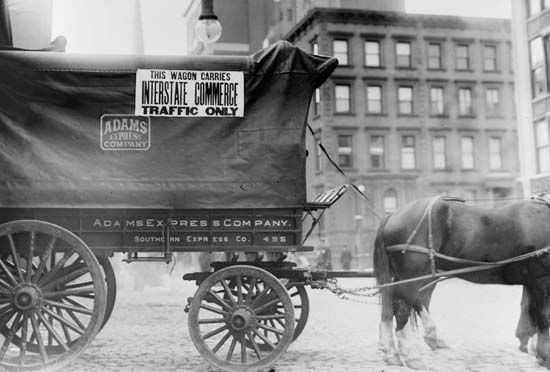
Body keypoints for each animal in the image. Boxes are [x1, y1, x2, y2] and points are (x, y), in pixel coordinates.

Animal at [376, 196, 550, 368]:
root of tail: (393, 215)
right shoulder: (540, 280)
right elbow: (543, 315)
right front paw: (543, 354)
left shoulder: (531, 281)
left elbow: (530, 310)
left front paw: (534, 349)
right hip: (412, 279)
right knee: (402, 308)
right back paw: (411, 355)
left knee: (394, 303)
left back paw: (394, 351)